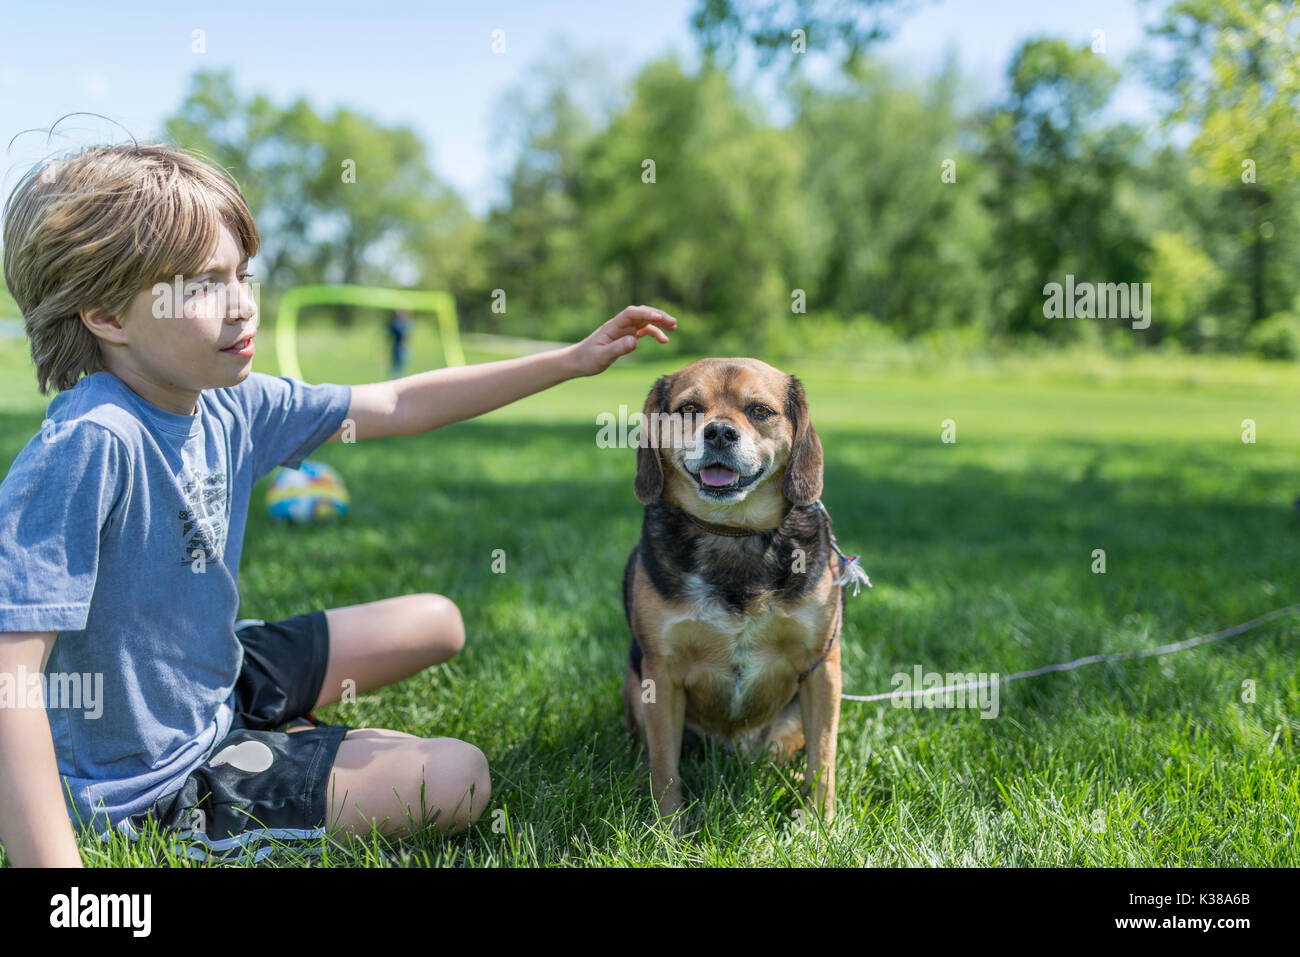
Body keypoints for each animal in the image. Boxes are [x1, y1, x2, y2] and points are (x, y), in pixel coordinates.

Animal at [621, 358, 842, 821]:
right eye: (689, 409)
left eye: (760, 411)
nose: (720, 433)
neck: (734, 534)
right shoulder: (661, 673)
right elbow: (665, 766)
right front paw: (667, 828)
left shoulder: (822, 666)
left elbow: (824, 759)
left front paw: (820, 824)